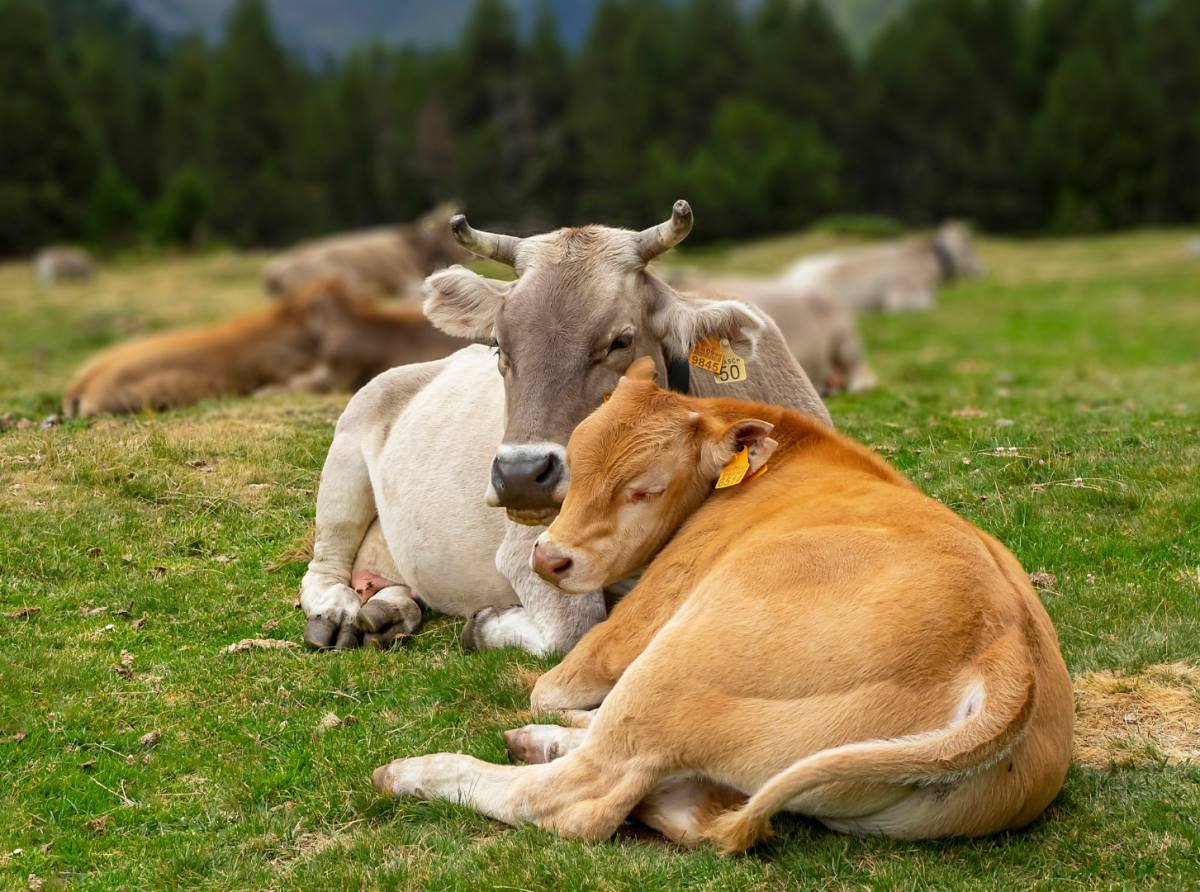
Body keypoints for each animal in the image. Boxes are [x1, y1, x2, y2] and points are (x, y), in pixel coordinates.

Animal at [372, 355, 1070, 849]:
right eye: (573, 465)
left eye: (645, 490)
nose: (549, 559)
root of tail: (1006, 655)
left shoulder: (627, 628)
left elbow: (551, 682)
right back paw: (541, 742)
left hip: (674, 664)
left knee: (582, 796)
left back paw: (419, 772)